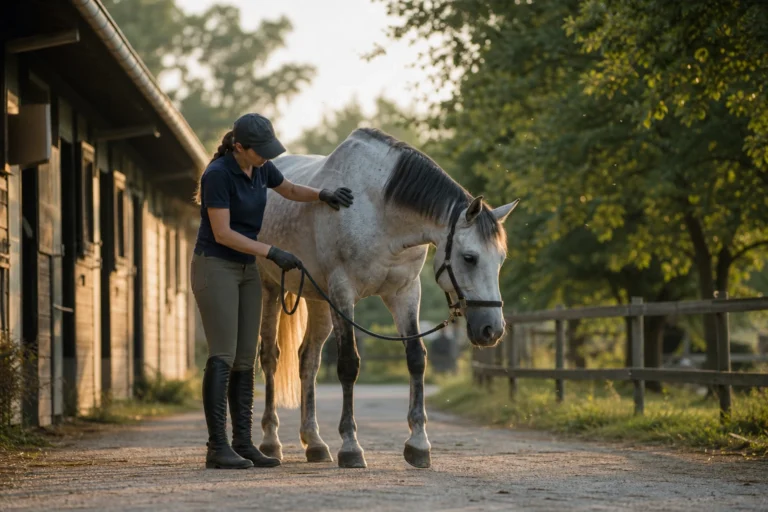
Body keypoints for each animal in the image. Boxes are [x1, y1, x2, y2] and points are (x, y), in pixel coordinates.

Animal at [255, 127, 518, 469]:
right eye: (469, 257)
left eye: (500, 259)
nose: (492, 330)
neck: (380, 211)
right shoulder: (343, 292)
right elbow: (348, 365)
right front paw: (351, 446)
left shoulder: (404, 292)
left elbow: (416, 358)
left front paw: (419, 444)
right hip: (271, 287)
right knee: (270, 357)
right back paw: (271, 441)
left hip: (318, 300)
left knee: (308, 361)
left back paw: (314, 443)